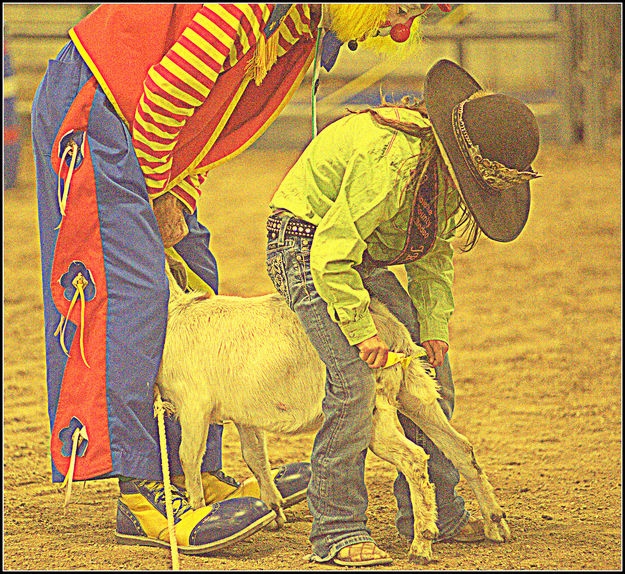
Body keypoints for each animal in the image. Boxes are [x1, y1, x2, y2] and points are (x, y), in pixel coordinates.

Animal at [156, 264, 508, 564]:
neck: (175, 315)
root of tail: (392, 332)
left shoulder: (194, 404)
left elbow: (189, 457)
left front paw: (197, 512)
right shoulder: (245, 414)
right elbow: (256, 458)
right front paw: (274, 511)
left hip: (373, 410)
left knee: (415, 458)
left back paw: (422, 543)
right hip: (415, 390)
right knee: (460, 448)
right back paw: (496, 525)